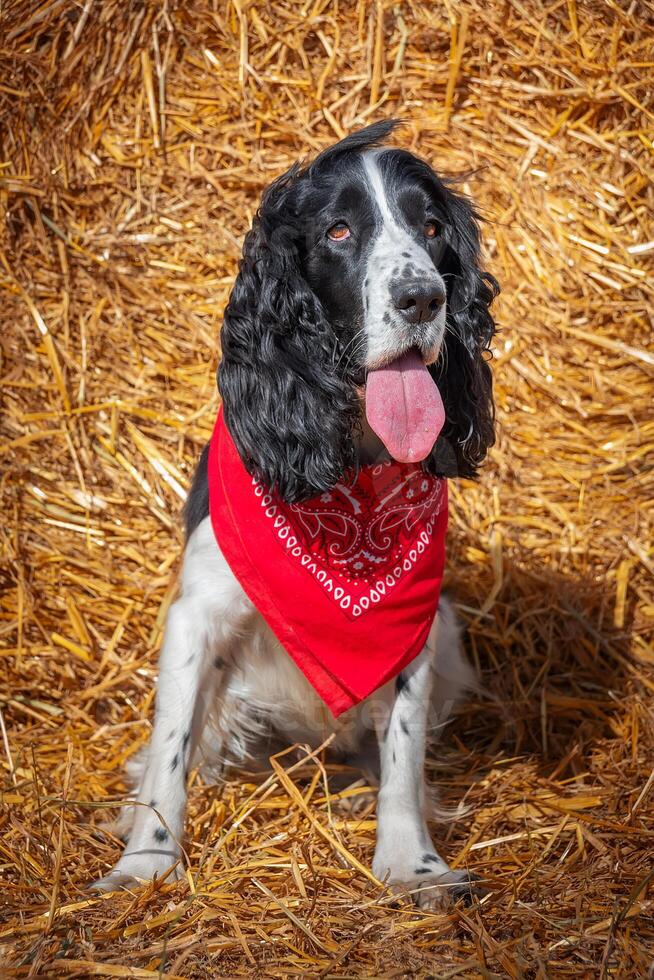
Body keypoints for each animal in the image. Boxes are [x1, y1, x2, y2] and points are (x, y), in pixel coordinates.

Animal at [95, 122, 500, 912]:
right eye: (339, 230)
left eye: (432, 228)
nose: (423, 298)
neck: (348, 482)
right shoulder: (196, 615)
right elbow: (169, 756)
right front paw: (147, 865)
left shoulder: (414, 629)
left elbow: (404, 757)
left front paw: (411, 865)